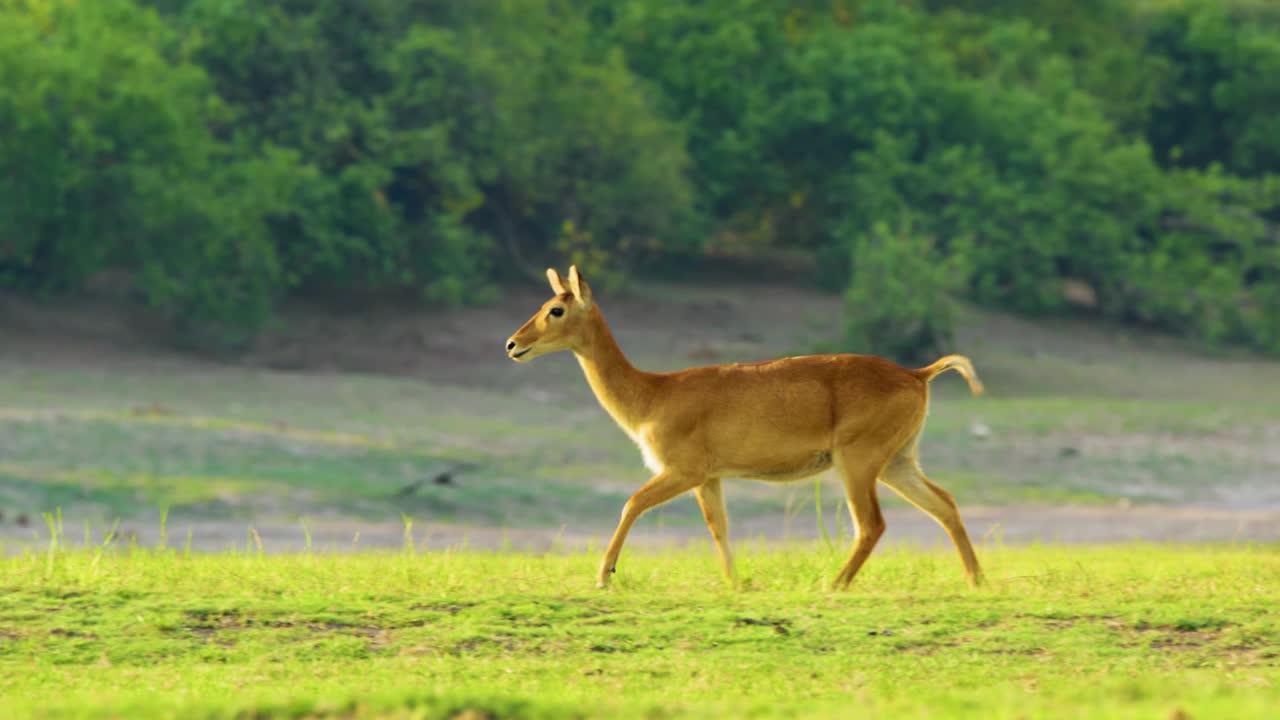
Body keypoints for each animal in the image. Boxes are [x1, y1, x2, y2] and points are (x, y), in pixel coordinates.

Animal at [504, 266, 983, 586]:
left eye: (556, 309)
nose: (512, 344)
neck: (652, 395)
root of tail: (917, 374)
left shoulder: (684, 470)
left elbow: (631, 502)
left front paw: (604, 576)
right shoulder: (710, 478)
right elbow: (719, 526)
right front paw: (736, 584)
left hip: (858, 461)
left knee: (873, 524)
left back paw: (832, 585)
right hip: (898, 461)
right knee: (945, 504)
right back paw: (976, 580)